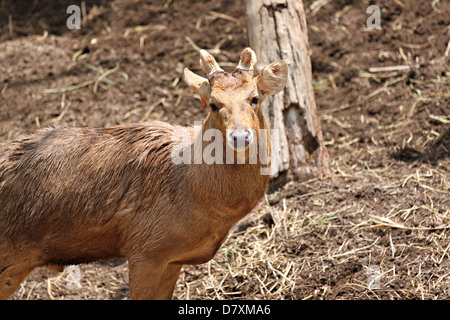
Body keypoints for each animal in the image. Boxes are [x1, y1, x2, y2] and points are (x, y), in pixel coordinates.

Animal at [0, 47, 288, 300]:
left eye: (255, 98)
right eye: (214, 105)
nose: (240, 136)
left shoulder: (172, 259)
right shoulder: (145, 249)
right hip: (11, 257)